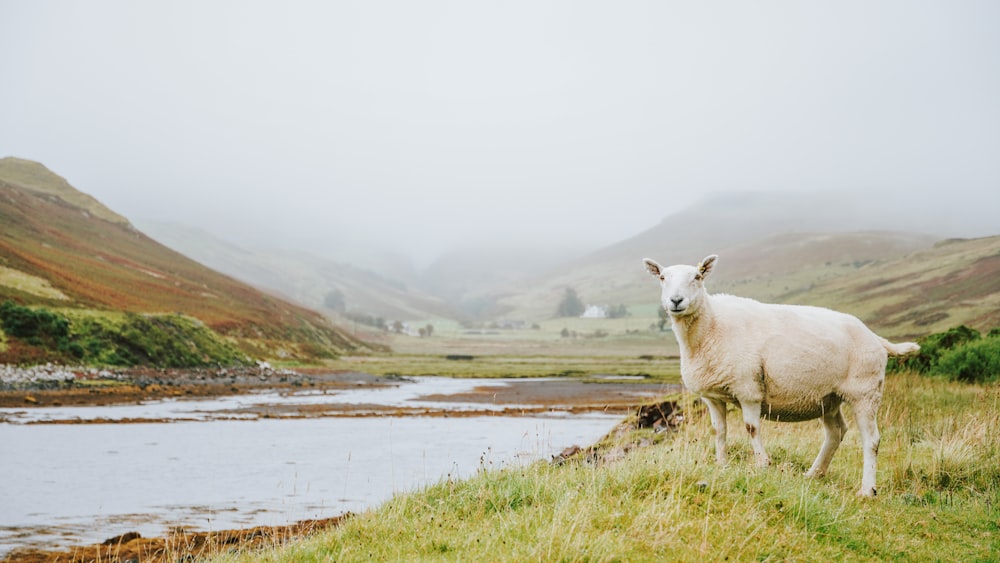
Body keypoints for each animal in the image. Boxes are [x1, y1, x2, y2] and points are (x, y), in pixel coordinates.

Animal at [644, 253, 916, 496]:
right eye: (663, 278)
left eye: (698, 276)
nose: (676, 300)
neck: (711, 327)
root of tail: (877, 338)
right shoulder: (713, 396)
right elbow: (718, 431)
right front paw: (721, 465)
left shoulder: (748, 389)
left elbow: (751, 428)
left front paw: (762, 464)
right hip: (828, 397)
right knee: (836, 432)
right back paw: (814, 474)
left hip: (865, 392)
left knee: (871, 440)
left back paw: (867, 490)